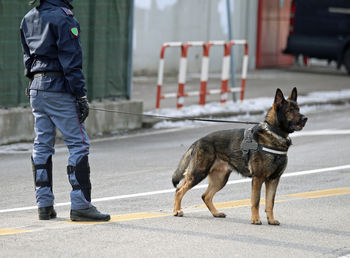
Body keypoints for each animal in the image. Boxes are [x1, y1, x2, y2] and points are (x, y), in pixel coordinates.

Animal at [172, 87, 306, 225]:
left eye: (298, 109)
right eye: (290, 110)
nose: (305, 118)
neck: (274, 133)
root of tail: (197, 141)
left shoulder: (274, 179)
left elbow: (270, 203)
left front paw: (271, 220)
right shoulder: (258, 178)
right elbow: (256, 201)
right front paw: (255, 219)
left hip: (220, 179)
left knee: (205, 196)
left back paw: (216, 213)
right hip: (198, 173)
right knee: (179, 190)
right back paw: (177, 211)